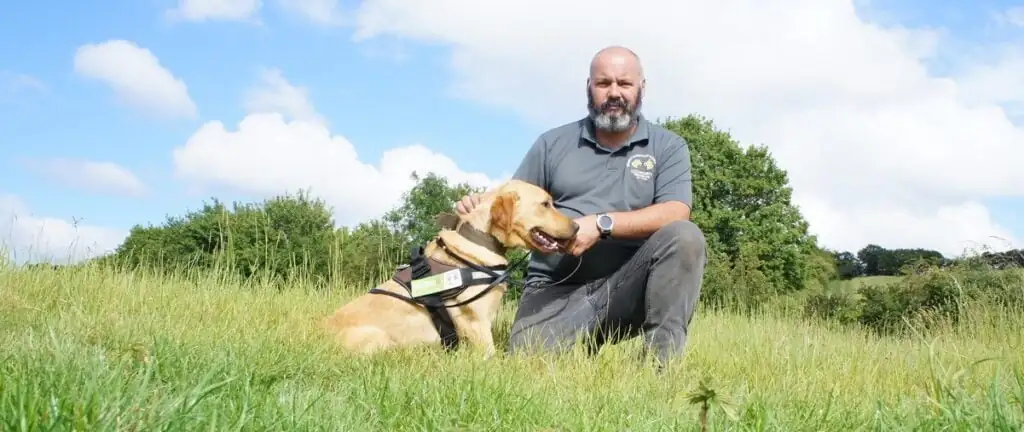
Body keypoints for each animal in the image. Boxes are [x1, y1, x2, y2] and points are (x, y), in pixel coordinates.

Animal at [321, 179, 577, 358]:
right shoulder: (476, 321)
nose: (576, 227)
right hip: (378, 337)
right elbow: (490, 355)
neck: (480, 238)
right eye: (546, 204)